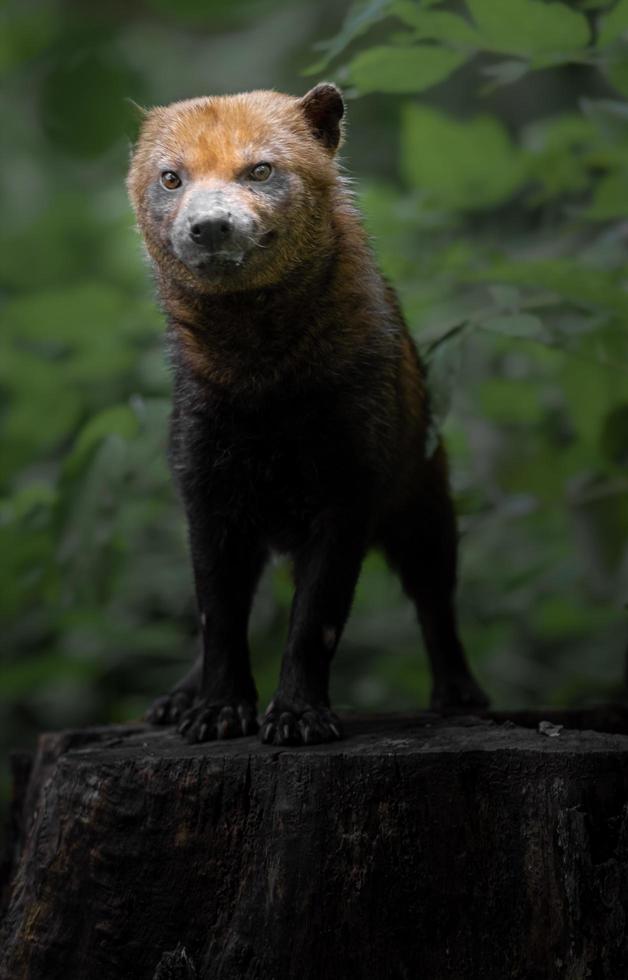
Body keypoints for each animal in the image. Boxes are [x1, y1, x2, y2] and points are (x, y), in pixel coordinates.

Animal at [127, 84, 488, 748]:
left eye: (261, 168)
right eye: (170, 177)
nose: (210, 225)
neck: (264, 392)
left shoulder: (349, 491)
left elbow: (316, 621)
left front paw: (297, 716)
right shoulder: (206, 491)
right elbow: (217, 615)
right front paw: (215, 712)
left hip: (427, 511)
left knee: (436, 601)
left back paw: (460, 696)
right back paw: (172, 699)